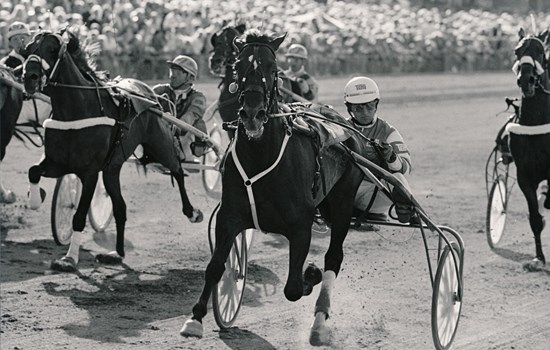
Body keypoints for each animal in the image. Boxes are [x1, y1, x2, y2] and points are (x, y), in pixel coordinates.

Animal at [23, 28, 205, 272]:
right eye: (28, 49)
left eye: (52, 49)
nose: (29, 78)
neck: (78, 108)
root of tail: (154, 97)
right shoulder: (57, 162)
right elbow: (33, 171)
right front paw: (35, 200)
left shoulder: (89, 172)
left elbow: (79, 216)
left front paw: (69, 258)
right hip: (112, 168)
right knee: (120, 207)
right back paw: (117, 253)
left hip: (160, 144)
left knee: (177, 169)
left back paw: (192, 212)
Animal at [181, 30, 380, 348]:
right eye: (239, 66)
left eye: (273, 69)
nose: (252, 113)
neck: (261, 154)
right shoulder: (229, 216)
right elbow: (215, 265)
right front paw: (195, 318)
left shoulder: (300, 226)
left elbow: (294, 288)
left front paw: (311, 272)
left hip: (342, 204)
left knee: (333, 257)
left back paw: (319, 324)